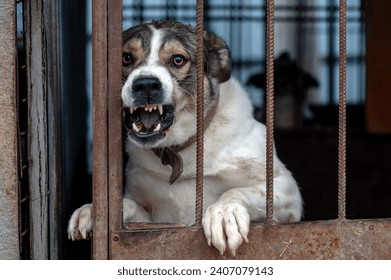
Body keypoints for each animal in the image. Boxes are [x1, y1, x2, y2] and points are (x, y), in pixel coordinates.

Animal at [67, 19, 304, 256]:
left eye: (178, 59)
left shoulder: (287, 191)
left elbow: (237, 191)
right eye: (126, 57)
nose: (146, 84)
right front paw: (92, 210)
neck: (181, 148)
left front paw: (225, 212)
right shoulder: (153, 221)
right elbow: (127, 207)